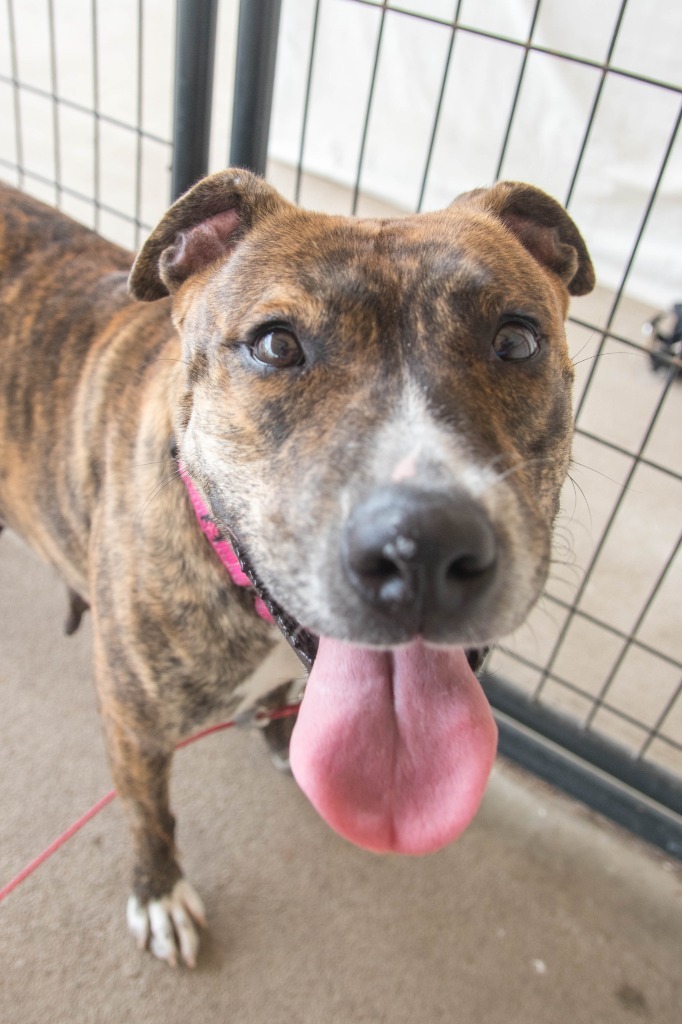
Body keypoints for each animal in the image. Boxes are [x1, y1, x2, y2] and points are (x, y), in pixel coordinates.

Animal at [0, 169, 589, 966]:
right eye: (276, 345)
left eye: (517, 339)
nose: (423, 546)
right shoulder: (133, 724)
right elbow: (151, 814)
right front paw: (159, 892)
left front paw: (284, 739)